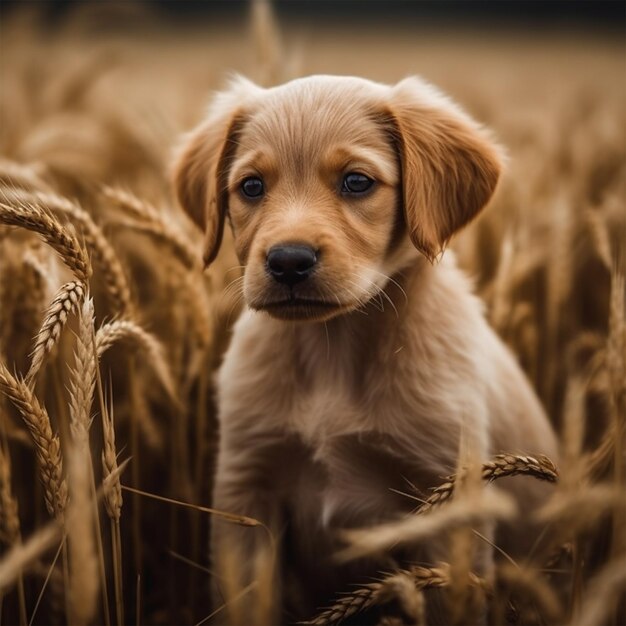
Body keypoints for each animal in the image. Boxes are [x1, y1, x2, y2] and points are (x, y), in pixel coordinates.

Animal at [172, 74, 556, 620]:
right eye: (251, 186)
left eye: (357, 182)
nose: (288, 261)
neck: (334, 345)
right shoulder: (245, 492)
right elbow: (245, 605)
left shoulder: (447, 504)